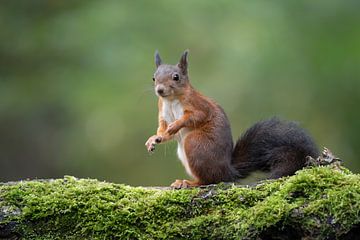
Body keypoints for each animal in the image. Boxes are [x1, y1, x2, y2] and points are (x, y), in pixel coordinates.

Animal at [143, 49, 318, 188]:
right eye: (153, 78)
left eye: (176, 77)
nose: (159, 90)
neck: (171, 100)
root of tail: (228, 171)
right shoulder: (163, 113)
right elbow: (162, 130)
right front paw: (154, 139)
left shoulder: (199, 105)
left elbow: (195, 117)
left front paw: (176, 125)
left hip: (195, 144)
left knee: (209, 180)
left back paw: (189, 182)